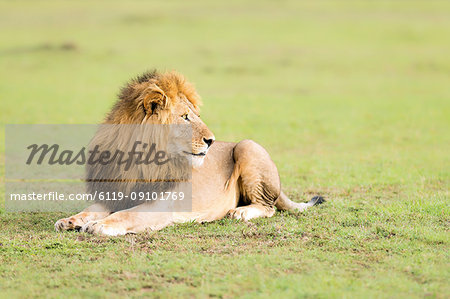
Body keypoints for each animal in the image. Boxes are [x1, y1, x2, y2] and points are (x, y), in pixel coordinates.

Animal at [54, 71, 324, 237]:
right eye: (185, 117)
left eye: (196, 115)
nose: (211, 141)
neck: (138, 160)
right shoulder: (116, 191)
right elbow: (92, 208)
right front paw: (71, 220)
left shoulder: (159, 205)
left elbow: (125, 215)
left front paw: (98, 225)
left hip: (247, 146)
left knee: (268, 207)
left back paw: (240, 212)